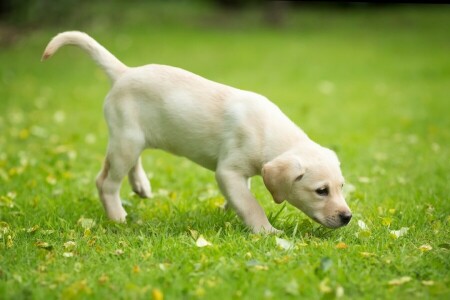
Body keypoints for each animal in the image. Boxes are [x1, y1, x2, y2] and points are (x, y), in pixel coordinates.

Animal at [43, 31, 352, 233]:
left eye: (341, 186)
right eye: (321, 191)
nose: (347, 217)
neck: (270, 132)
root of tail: (125, 72)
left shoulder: (241, 174)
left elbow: (244, 195)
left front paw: (230, 209)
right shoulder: (227, 171)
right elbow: (251, 203)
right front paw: (266, 231)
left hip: (132, 139)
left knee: (129, 165)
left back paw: (141, 184)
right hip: (126, 142)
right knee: (105, 182)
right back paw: (118, 215)